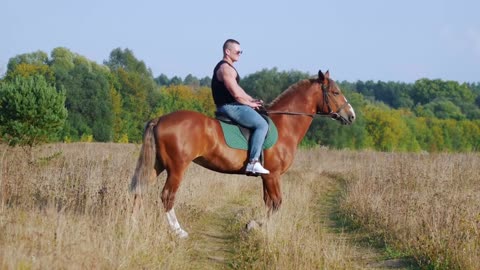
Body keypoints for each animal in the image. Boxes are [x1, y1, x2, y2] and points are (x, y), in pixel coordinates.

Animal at [129, 70, 354, 238]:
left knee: (140, 190)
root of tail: (160, 119)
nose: (351, 115)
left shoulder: (266, 177)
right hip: (177, 168)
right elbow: (276, 204)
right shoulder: (273, 176)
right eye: (335, 92)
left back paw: (134, 226)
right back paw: (178, 231)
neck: (285, 125)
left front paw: (256, 226)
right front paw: (254, 225)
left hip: (157, 165)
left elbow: (269, 203)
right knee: (167, 196)